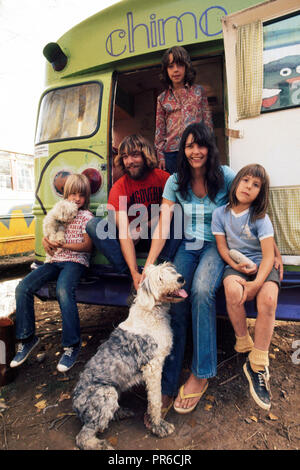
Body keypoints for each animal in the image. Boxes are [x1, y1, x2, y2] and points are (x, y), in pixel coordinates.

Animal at [72, 262, 186, 450]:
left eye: (171, 270)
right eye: (160, 278)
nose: (180, 278)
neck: (151, 311)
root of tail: (75, 404)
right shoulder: (152, 367)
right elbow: (155, 400)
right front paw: (158, 426)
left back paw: (121, 412)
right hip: (106, 393)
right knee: (83, 435)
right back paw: (100, 444)